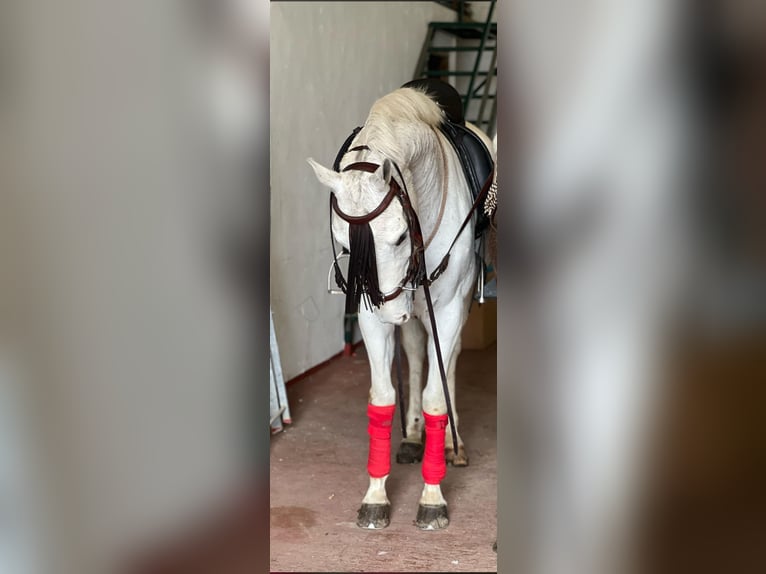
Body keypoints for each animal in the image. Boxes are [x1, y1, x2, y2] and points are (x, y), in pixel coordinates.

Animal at [308, 84, 494, 530]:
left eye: (398, 238)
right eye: (344, 245)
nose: (391, 312)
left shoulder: (447, 310)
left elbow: (435, 397)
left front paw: (433, 498)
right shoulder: (372, 315)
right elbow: (382, 397)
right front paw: (375, 495)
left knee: (449, 360)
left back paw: (452, 443)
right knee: (413, 353)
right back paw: (411, 435)